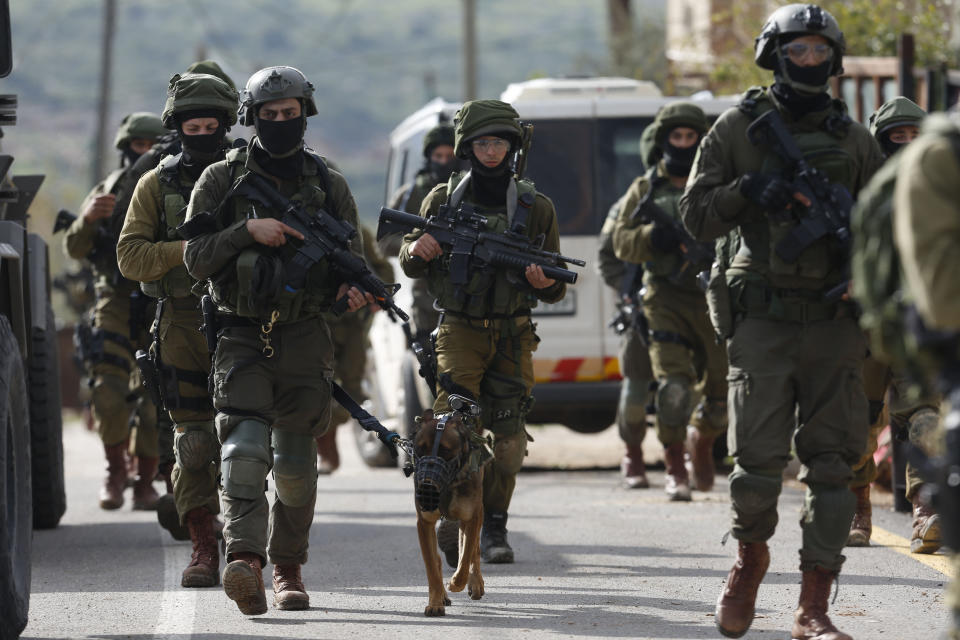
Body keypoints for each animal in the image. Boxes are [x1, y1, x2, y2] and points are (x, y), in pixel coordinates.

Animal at [410, 396, 492, 616]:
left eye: (446, 451)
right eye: (420, 449)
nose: (427, 487)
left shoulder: (471, 517)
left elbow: (465, 558)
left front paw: (457, 583)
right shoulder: (424, 524)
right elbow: (431, 566)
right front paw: (435, 601)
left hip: (476, 514)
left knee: (473, 552)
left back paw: (475, 583)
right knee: (439, 559)